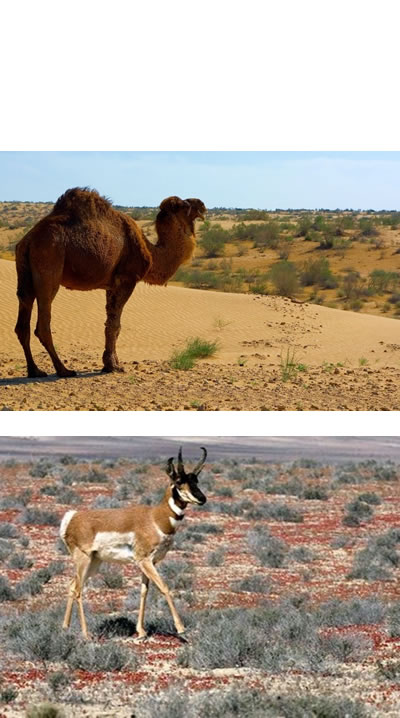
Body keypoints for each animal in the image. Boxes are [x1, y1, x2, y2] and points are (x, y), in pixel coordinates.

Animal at [14, 188, 205, 380]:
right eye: (185, 205)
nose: (202, 205)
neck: (151, 253)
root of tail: (28, 240)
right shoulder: (127, 279)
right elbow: (115, 325)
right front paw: (113, 366)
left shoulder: (111, 285)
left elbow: (110, 323)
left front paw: (110, 363)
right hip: (49, 265)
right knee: (43, 323)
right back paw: (63, 370)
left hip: (24, 273)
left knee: (23, 319)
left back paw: (35, 370)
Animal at [61, 450, 209, 640]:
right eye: (178, 481)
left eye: (196, 480)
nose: (202, 498)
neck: (155, 518)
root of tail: (73, 517)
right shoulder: (144, 560)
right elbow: (164, 587)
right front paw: (181, 628)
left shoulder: (149, 563)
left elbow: (144, 591)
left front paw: (141, 631)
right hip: (84, 560)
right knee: (79, 589)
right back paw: (86, 634)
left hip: (94, 563)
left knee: (72, 585)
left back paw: (65, 628)